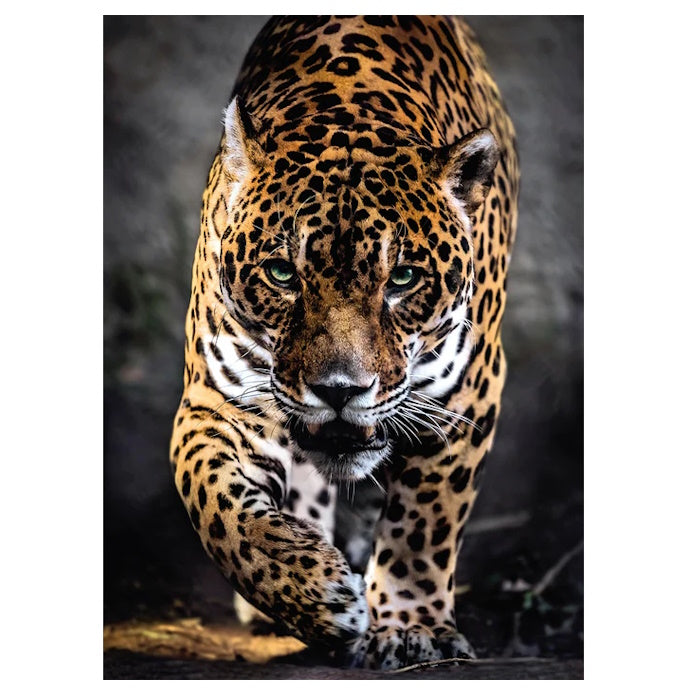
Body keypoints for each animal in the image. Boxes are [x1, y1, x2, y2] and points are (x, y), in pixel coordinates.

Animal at [170, 15, 519, 670]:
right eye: (283, 274)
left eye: (402, 278)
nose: (339, 390)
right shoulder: (216, 400)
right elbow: (216, 505)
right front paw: (313, 593)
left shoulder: (465, 396)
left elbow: (424, 523)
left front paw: (411, 628)